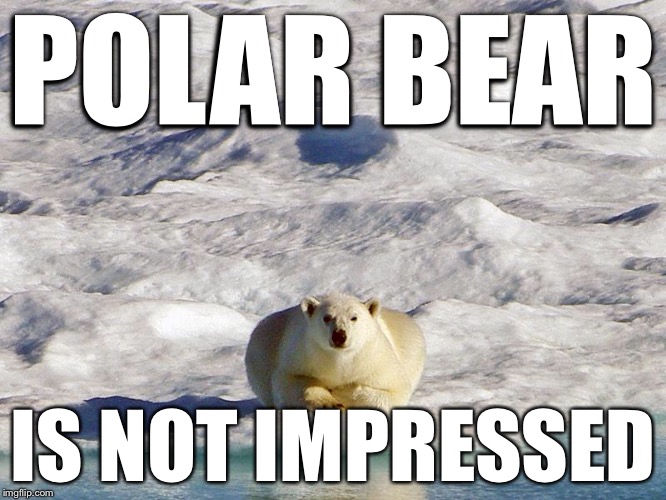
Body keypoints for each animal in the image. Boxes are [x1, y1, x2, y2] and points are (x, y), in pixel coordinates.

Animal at [245, 293, 425, 411]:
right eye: (327, 317)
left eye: (354, 317)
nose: (339, 335)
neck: (338, 359)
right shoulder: (303, 355)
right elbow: (290, 382)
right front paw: (329, 403)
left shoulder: (375, 361)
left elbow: (393, 390)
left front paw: (342, 392)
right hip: (262, 344)